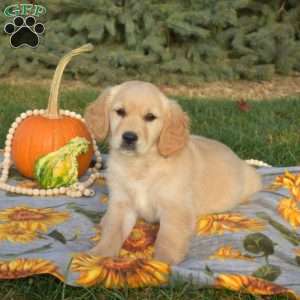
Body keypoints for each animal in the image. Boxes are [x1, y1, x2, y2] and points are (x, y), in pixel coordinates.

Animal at [84, 81, 262, 264]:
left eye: (150, 117)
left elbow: (167, 238)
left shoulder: (175, 209)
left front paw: (163, 263)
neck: (140, 164)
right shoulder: (121, 203)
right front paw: (99, 255)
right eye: (120, 112)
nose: (129, 137)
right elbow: (112, 231)